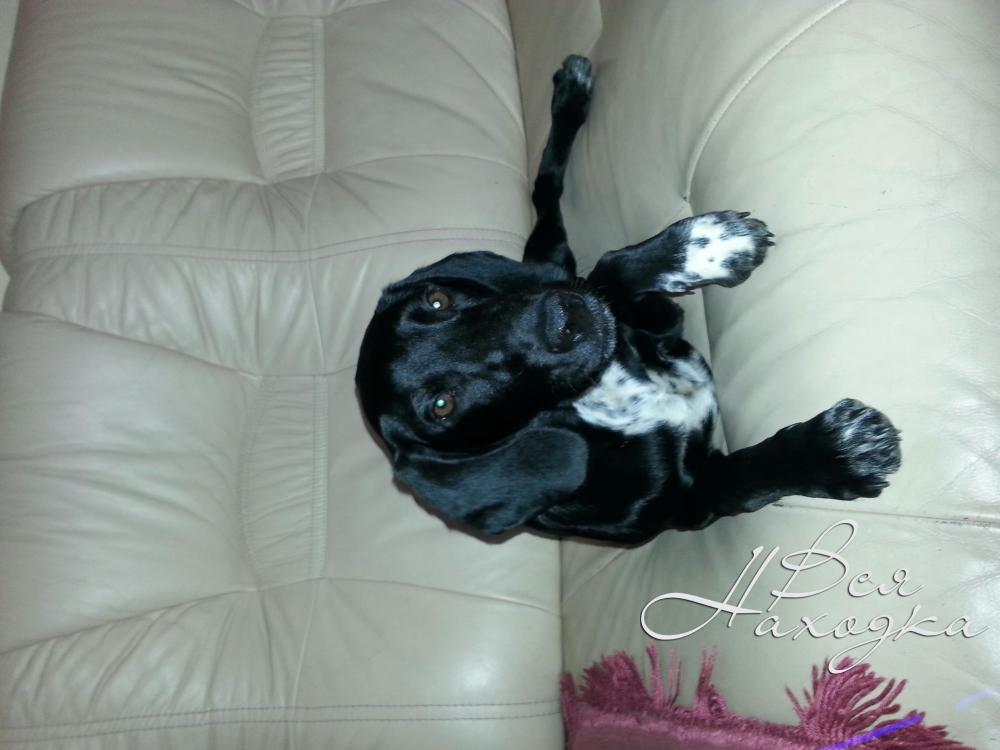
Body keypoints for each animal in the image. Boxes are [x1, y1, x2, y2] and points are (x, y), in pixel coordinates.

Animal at [355, 55, 901, 544]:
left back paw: (570, 97)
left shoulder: (649, 317)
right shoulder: (692, 503)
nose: (563, 318)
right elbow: (747, 473)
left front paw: (703, 245)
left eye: (438, 301)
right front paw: (835, 453)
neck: (602, 399)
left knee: (546, 197)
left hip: (549, 264)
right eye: (441, 406)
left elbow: (611, 269)